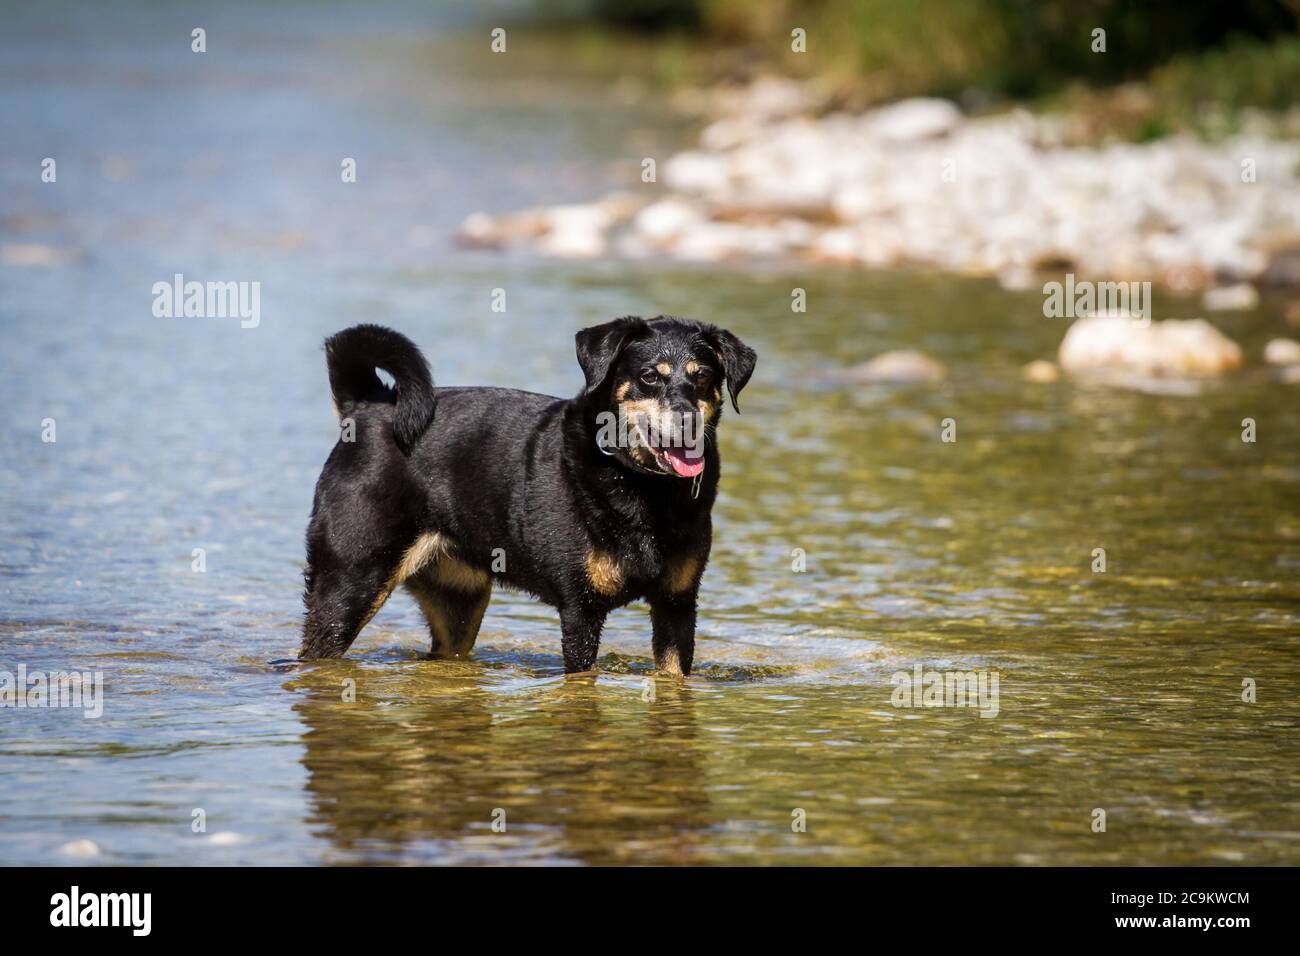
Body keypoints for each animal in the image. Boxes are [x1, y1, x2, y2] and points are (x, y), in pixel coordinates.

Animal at [297, 314, 759, 671]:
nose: (687, 419)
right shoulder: (580, 611)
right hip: (348, 585)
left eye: (704, 377)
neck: (641, 485)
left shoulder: (677, 605)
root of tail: (367, 407)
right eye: (648, 377)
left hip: (458, 599)